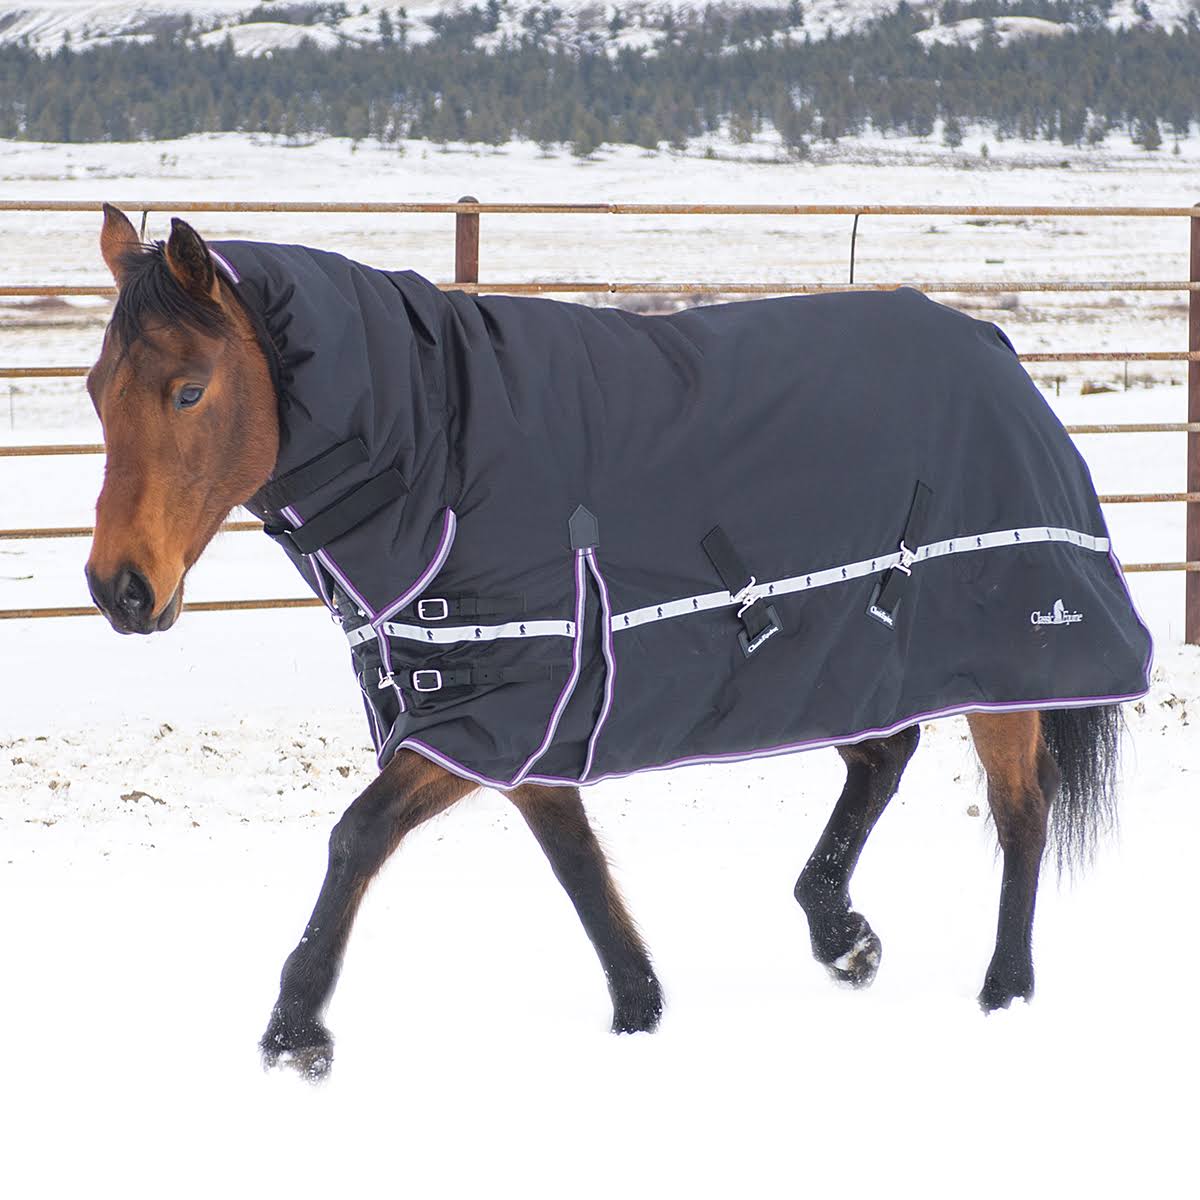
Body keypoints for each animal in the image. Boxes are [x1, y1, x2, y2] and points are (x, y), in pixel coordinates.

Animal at [84, 204, 1133, 1080]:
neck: (440, 453)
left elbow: (358, 837)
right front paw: (639, 1008)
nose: (118, 589)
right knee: (885, 757)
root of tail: (1000, 354)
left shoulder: (489, 713)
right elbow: (577, 863)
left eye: (188, 392)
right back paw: (841, 933)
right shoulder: (516, 717)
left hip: (1007, 659)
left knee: (1021, 810)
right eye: (97, 391)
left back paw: (1004, 990)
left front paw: (294, 1034)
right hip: (854, 660)